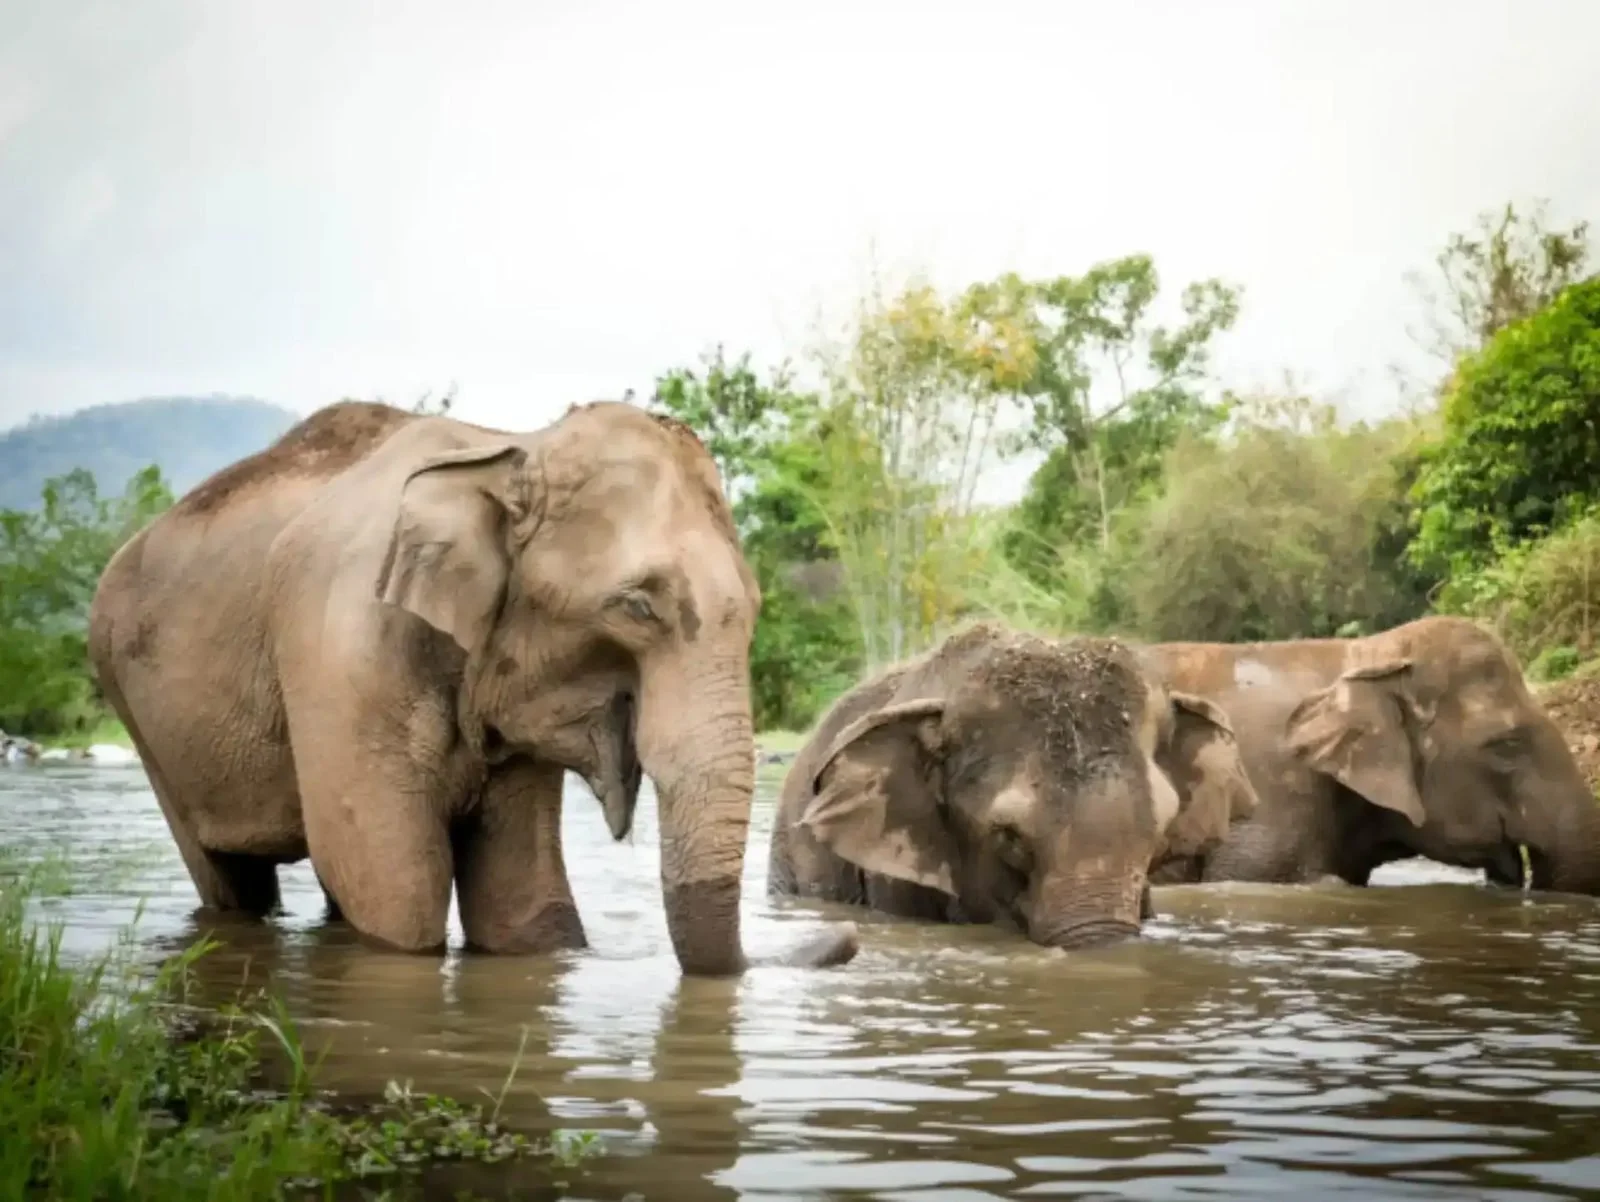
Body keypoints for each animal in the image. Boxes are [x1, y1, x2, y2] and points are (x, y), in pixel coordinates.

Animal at [88, 399, 858, 976]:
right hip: (136, 710)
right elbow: (396, 888)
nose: (848, 939)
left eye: (755, 607)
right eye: (637, 606)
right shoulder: (339, 648)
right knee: (231, 882)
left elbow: (522, 898)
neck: (508, 446)